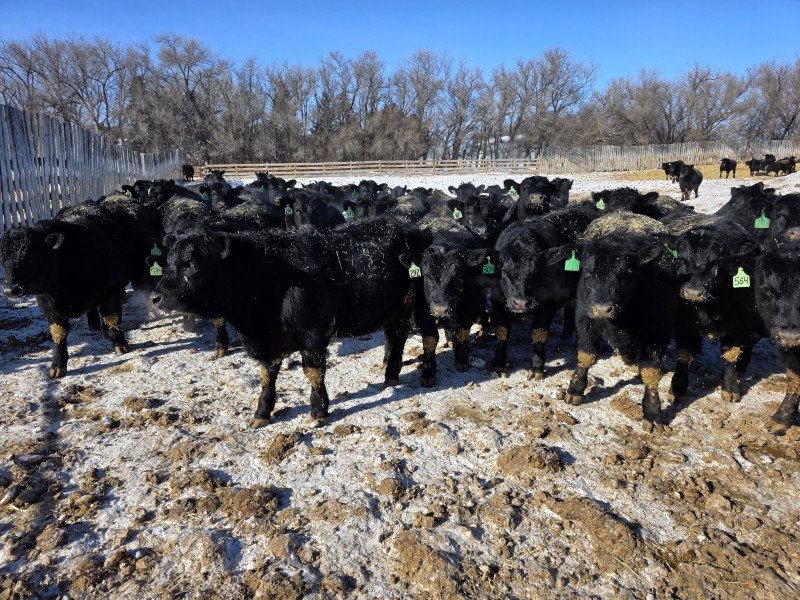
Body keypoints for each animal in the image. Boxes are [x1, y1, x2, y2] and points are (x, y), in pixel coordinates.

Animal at [150, 218, 431, 426]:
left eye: (190, 264)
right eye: (169, 261)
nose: (155, 297)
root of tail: (408, 227)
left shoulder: (313, 334)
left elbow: (313, 372)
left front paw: (319, 411)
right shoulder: (267, 342)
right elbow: (266, 375)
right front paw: (262, 413)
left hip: (410, 303)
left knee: (405, 335)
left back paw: (398, 374)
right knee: (394, 335)